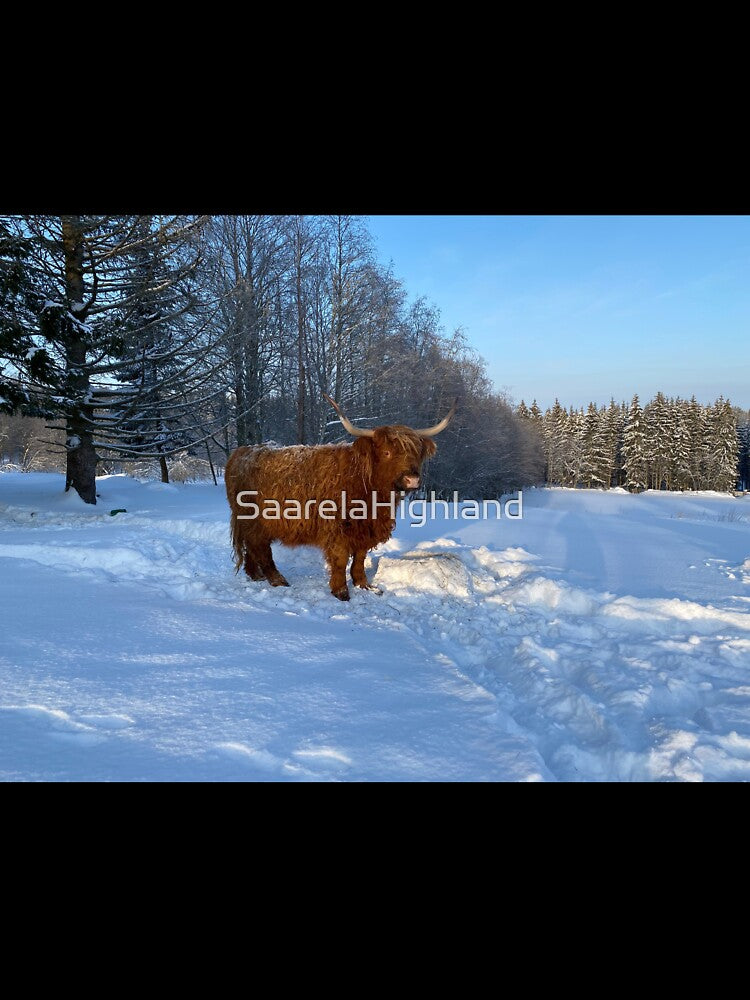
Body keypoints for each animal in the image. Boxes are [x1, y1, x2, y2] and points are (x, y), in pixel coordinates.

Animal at [224, 395, 457, 600]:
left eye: (417, 453)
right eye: (387, 453)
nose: (412, 479)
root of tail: (241, 452)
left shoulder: (365, 529)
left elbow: (360, 559)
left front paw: (364, 585)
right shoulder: (338, 529)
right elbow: (340, 559)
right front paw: (341, 591)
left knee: (251, 547)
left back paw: (255, 575)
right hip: (254, 520)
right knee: (261, 548)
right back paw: (276, 579)